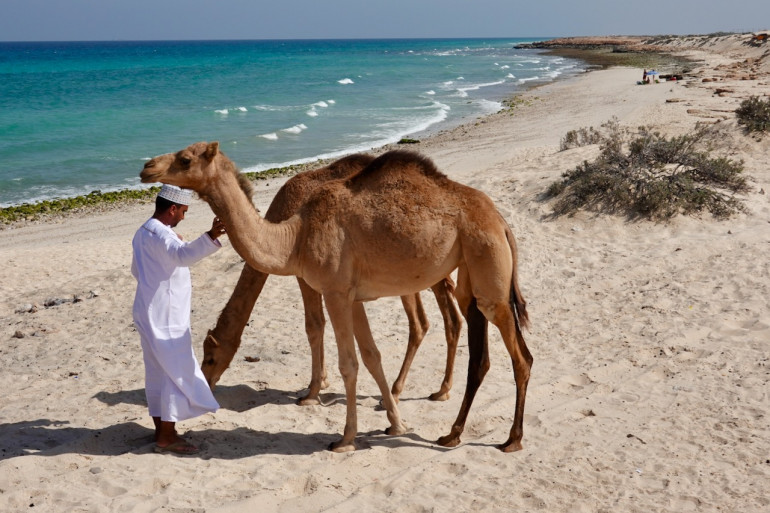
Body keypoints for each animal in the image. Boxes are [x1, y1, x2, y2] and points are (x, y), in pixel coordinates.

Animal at [200, 153, 462, 404]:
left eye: (210, 357)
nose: (207, 383)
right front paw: (322, 382)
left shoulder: (305, 274)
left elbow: (314, 325)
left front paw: (312, 391)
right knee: (450, 318)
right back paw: (442, 390)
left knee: (420, 324)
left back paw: (397, 392)